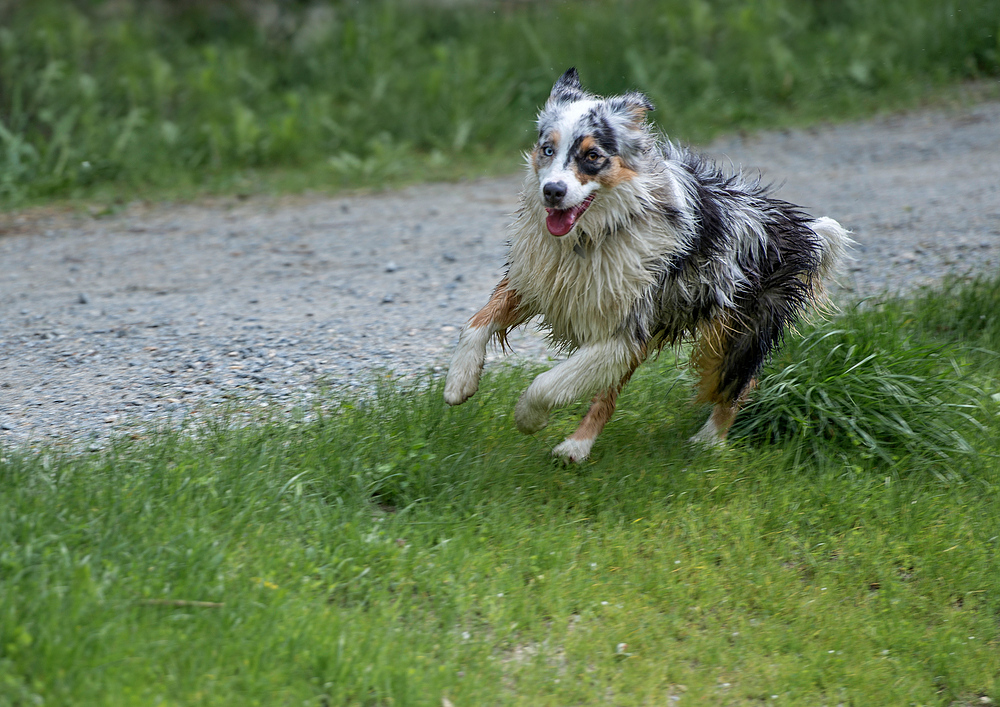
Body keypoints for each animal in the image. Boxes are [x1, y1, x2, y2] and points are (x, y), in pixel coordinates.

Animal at [444, 69, 844, 462]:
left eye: (592, 155)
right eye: (547, 150)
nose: (552, 191)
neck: (592, 237)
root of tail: (795, 226)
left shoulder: (626, 325)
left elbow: (547, 384)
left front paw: (529, 416)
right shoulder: (539, 280)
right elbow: (476, 322)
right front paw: (459, 382)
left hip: (736, 330)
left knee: (740, 381)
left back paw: (707, 441)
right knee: (611, 394)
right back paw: (578, 446)